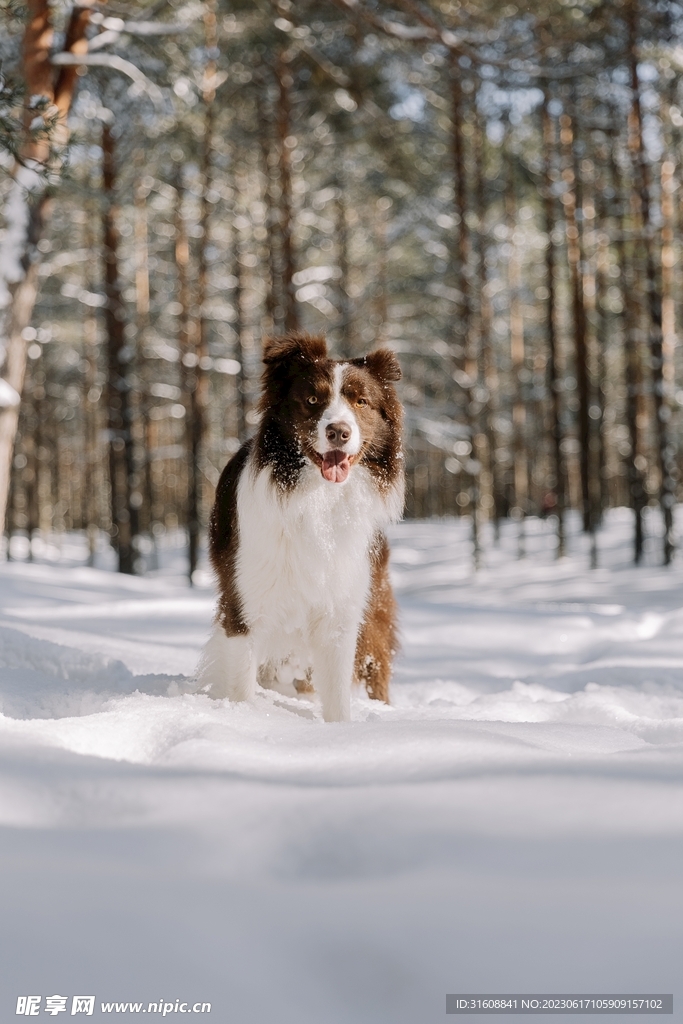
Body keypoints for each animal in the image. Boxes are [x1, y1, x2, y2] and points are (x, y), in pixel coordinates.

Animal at [194, 331, 403, 724]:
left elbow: (337, 694)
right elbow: (241, 683)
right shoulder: (244, 601)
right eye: (312, 400)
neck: (317, 498)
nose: (338, 431)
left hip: (373, 608)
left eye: (361, 401)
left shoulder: (341, 610)